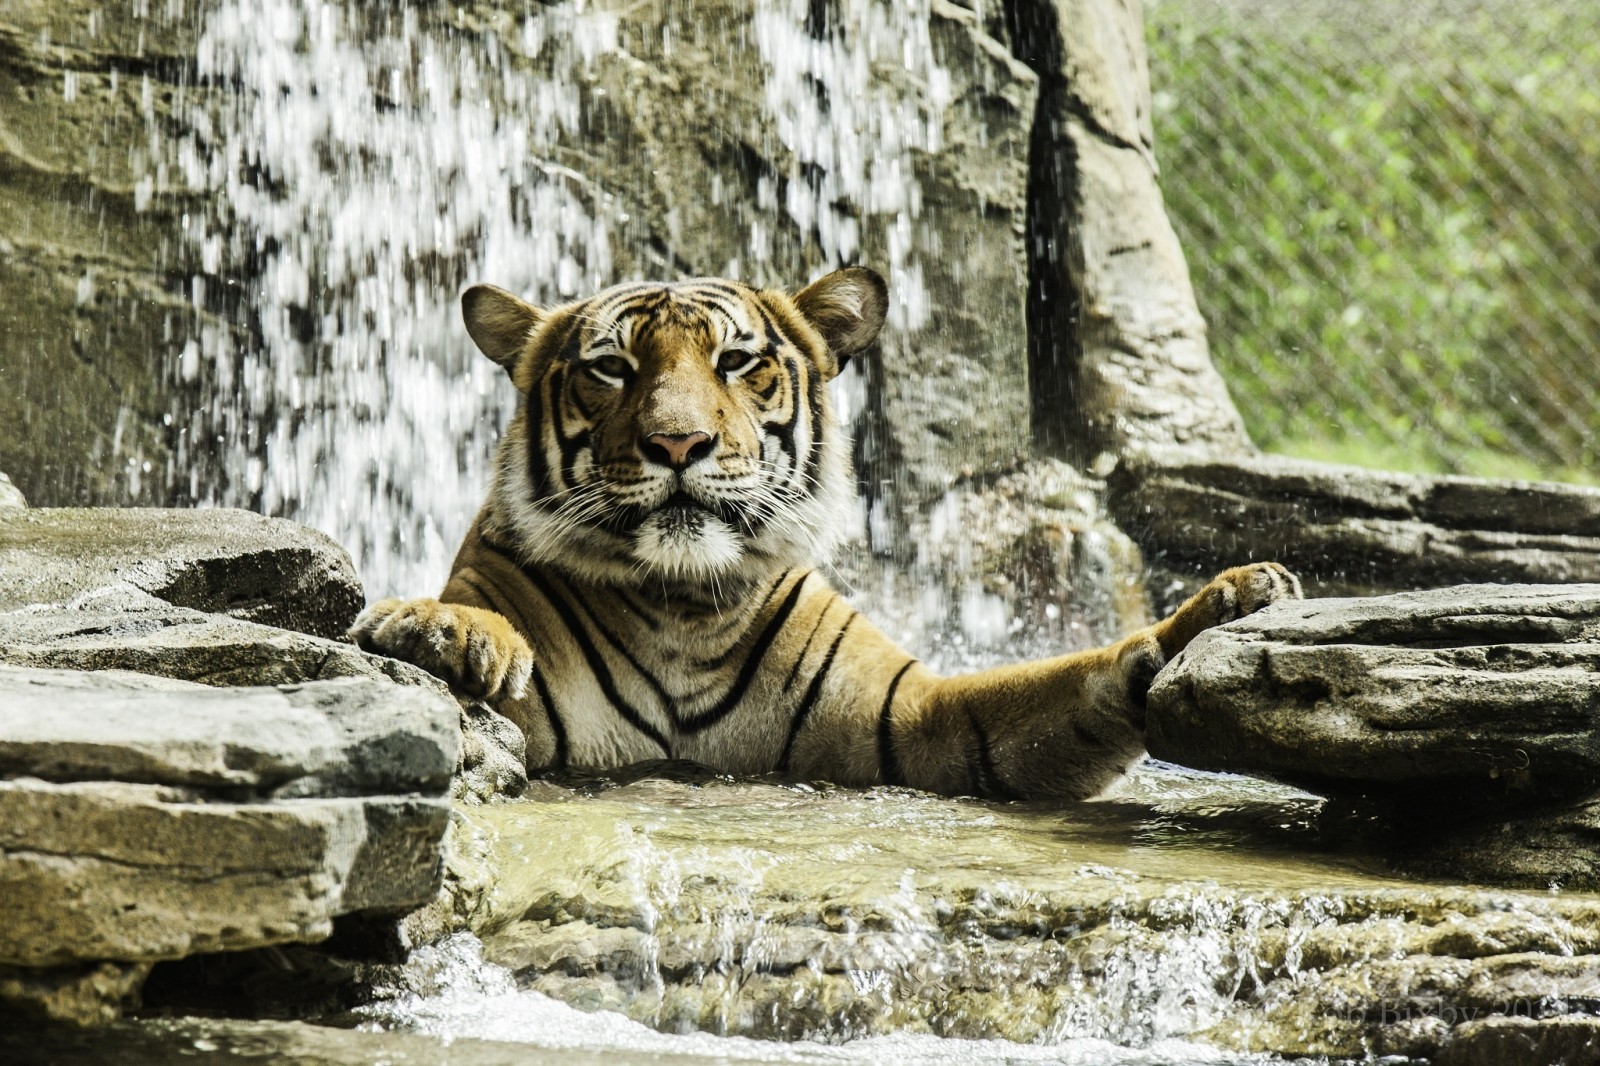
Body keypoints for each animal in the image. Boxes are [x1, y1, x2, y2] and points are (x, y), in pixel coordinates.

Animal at [350, 265, 1299, 797]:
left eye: (736, 362)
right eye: (610, 368)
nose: (677, 443)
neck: (681, 607)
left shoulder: (919, 722)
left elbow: (1067, 682)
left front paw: (1220, 609)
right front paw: (442, 629)